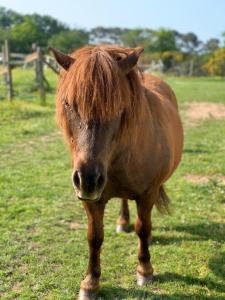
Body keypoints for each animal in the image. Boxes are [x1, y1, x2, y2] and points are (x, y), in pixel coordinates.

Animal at [49, 45, 183, 300]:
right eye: (68, 104)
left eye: (118, 107)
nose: (88, 180)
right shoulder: (91, 201)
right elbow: (94, 238)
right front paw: (90, 283)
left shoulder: (147, 194)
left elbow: (142, 228)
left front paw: (145, 271)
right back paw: (122, 221)